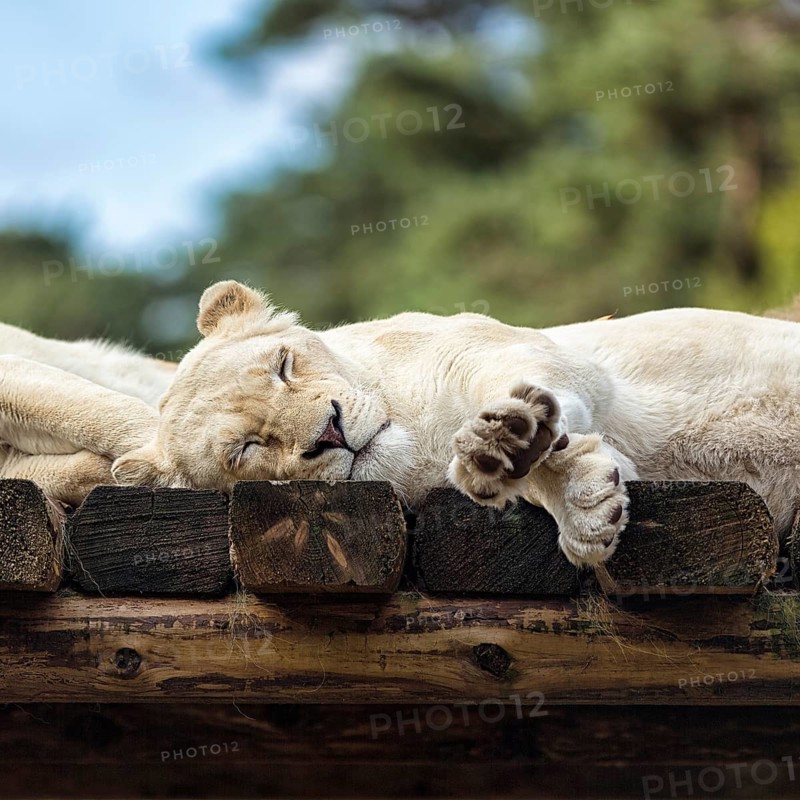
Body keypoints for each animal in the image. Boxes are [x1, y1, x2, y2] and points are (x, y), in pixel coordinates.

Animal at [2, 280, 800, 566]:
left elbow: (534, 397)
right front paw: (569, 498)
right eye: (245, 450)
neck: (415, 433)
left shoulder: (538, 354)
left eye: (285, 365)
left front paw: (503, 441)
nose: (327, 431)